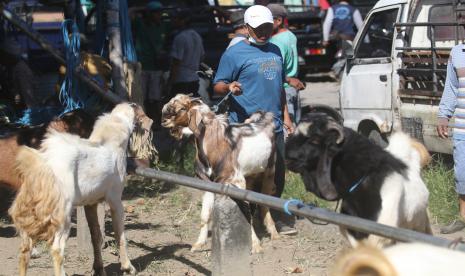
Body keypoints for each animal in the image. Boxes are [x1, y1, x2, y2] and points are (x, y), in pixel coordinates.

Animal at [8, 103, 154, 276]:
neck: (109, 141)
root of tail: (43, 164)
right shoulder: (115, 199)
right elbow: (120, 235)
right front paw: (127, 267)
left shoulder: (90, 204)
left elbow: (96, 236)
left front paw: (99, 269)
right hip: (62, 216)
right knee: (57, 249)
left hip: (30, 213)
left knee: (25, 250)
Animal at [161, 94, 280, 252]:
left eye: (181, 108)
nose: (164, 120)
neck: (214, 143)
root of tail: (264, 116)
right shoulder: (207, 183)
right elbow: (205, 214)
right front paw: (198, 244)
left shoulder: (236, 180)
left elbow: (247, 212)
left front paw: (255, 245)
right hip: (251, 176)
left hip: (269, 171)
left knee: (265, 203)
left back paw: (274, 233)